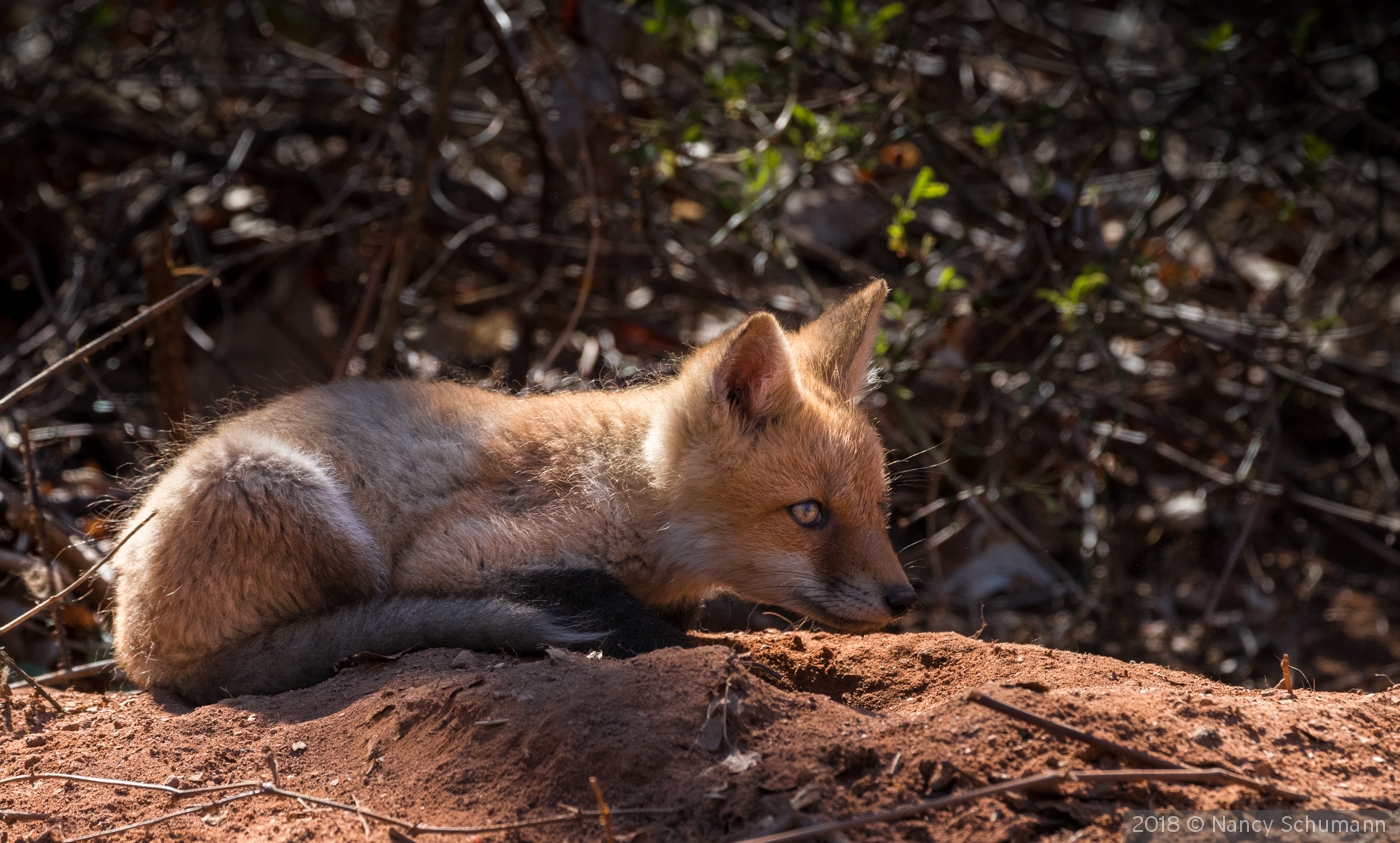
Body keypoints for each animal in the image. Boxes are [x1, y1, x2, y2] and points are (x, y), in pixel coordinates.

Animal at [109, 278, 918, 700]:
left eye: (880, 510)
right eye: (808, 513)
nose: (904, 598)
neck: (628, 492)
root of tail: (132, 645)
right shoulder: (450, 554)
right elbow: (585, 589)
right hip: (288, 494)